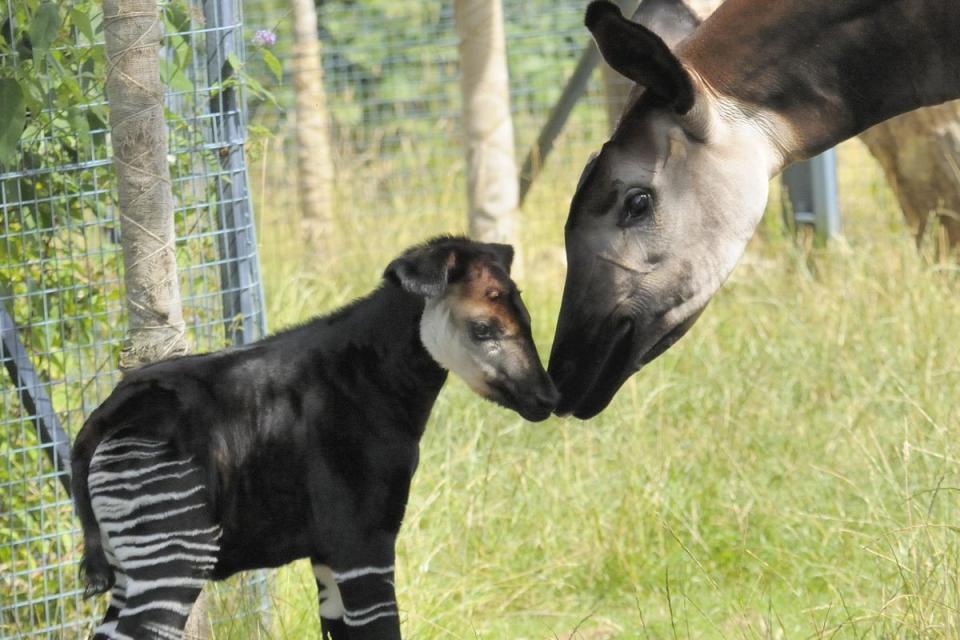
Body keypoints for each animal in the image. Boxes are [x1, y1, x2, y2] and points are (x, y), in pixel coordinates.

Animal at [71, 238, 560, 636]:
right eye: (483, 329)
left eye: (527, 318)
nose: (548, 397)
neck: (373, 382)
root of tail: (110, 412)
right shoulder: (364, 540)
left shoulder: (328, 554)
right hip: (172, 558)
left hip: (131, 567)